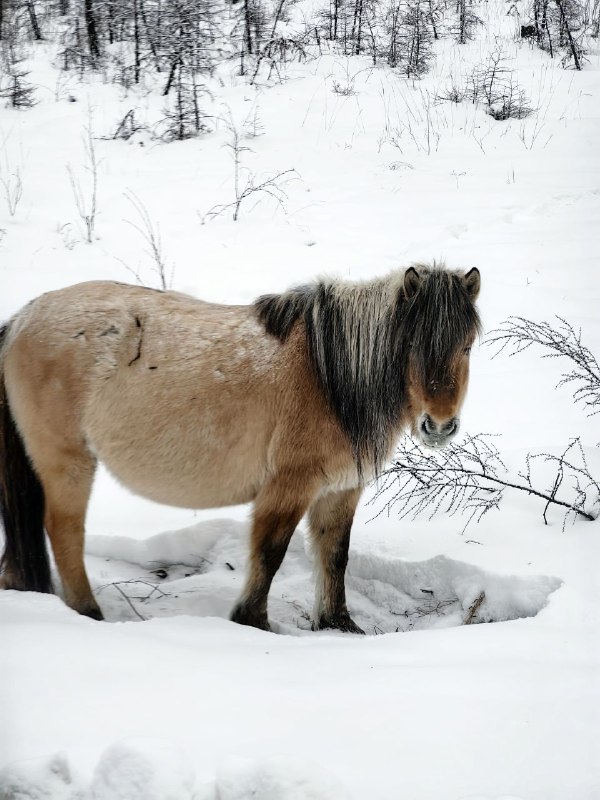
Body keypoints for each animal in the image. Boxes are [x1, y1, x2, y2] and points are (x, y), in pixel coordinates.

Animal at [0, 262, 480, 632]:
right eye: (412, 344)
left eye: (467, 346)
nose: (439, 426)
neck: (328, 376)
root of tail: (21, 319)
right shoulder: (289, 486)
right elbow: (270, 552)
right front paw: (252, 621)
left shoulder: (340, 490)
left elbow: (335, 556)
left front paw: (338, 626)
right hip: (67, 462)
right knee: (63, 530)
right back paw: (89, 613)